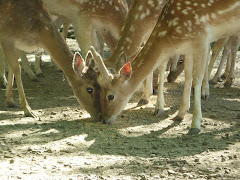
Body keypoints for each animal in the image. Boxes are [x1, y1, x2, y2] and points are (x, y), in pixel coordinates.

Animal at [90, 0, 240, 134]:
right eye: (99, 90)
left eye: (111, 96)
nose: (104, 119)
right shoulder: (189, 44)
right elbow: (187, 73)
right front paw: (180, 114)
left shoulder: (201, 38)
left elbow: (196, 76)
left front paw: (194, 125)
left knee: (226, 48)